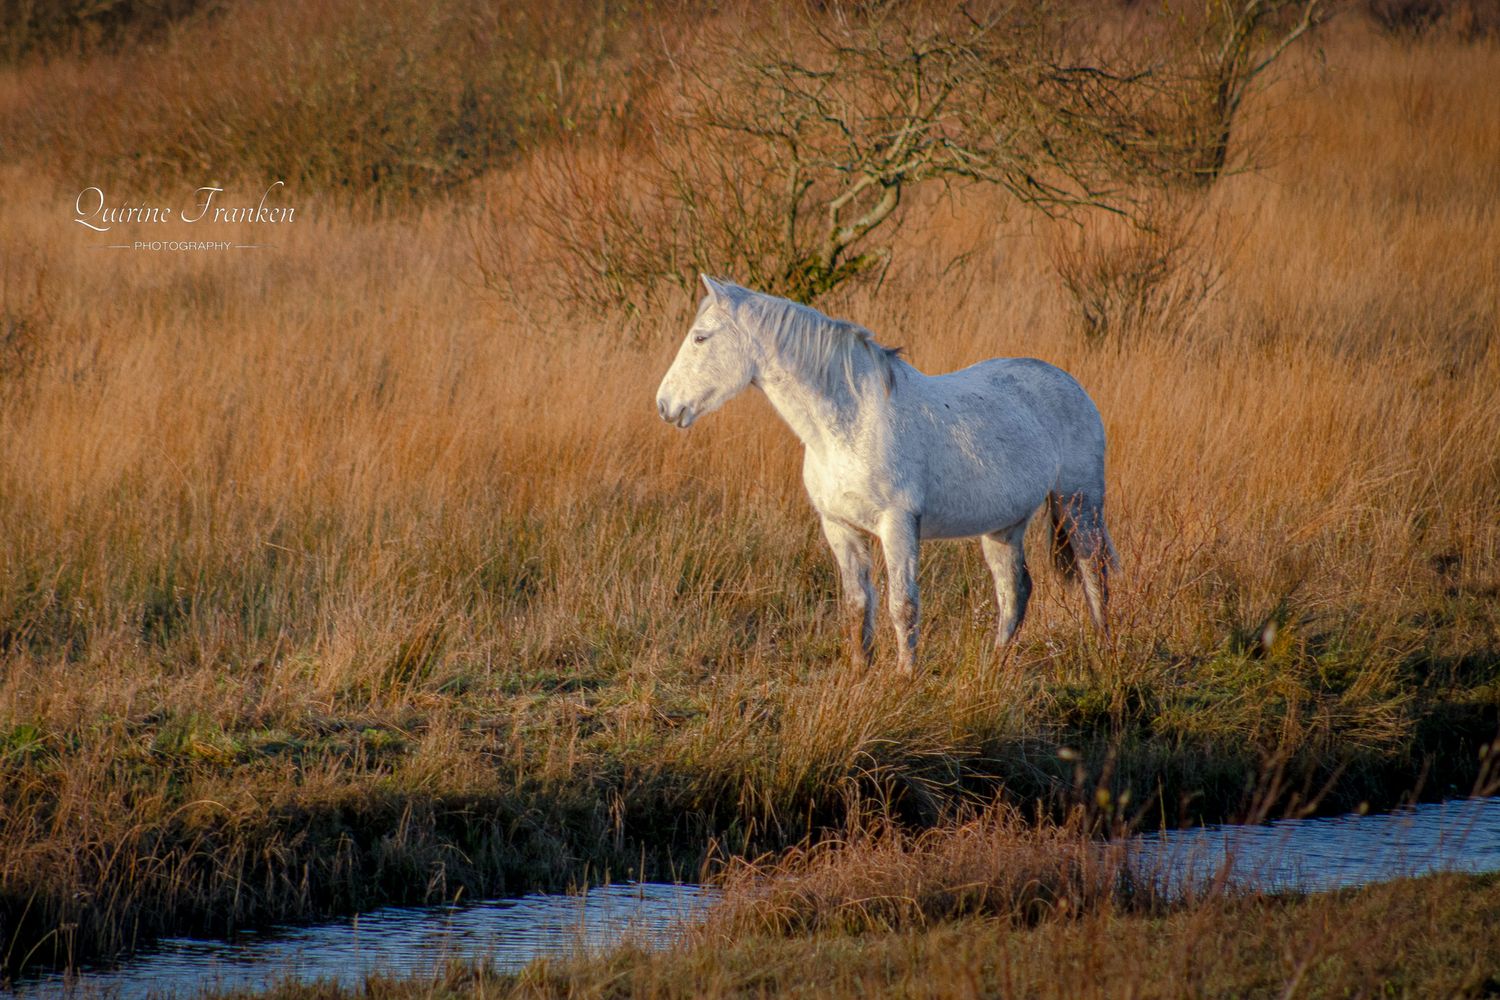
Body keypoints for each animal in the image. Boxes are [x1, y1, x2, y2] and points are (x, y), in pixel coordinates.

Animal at [655, 275, 1117, 673]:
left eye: (700, 338)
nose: (665, 405)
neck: (850, 423)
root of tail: (1072, 384)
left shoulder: (898, 525)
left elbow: (902, 605)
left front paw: (904, 677)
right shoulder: (839, 527)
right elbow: (858, 604)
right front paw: (861, 672)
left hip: (1079, 505)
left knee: (1094, 575)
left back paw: (1105, 652)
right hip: (1004, 526)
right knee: (1015, 591)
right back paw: (995, 666)